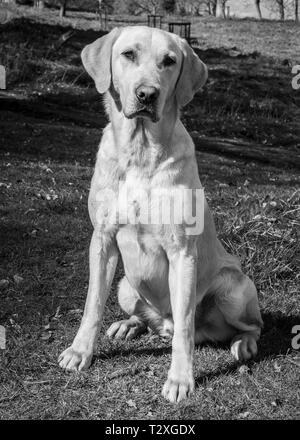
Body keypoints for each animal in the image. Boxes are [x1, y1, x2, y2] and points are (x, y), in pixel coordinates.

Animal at [58, 26, 262, 402]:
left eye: (169, 61)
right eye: (128, 54)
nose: (147, 94)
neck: (140, 152)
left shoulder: (182, 253)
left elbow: (184, 326)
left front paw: (181, 379)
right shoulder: (103, 240)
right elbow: (92, 305)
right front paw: (80, 352)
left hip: (234, 288)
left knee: (248, 325)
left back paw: (244, 344)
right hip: (126, 286)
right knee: (145, 315)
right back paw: (128, 325)